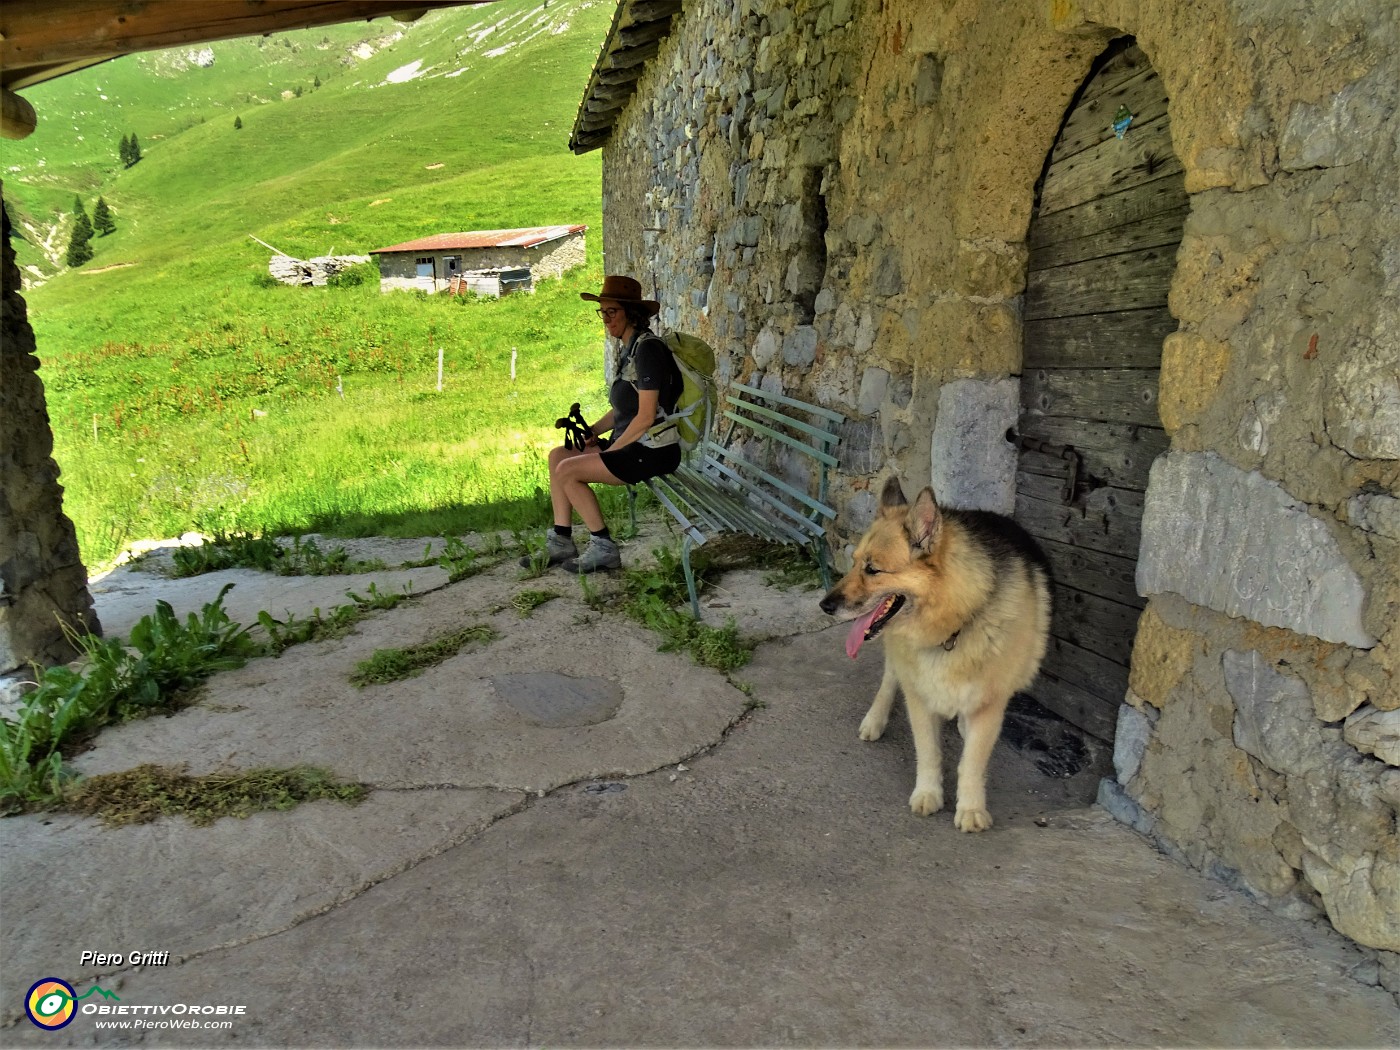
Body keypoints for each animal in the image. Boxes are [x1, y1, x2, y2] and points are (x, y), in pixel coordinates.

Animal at [817, 481, 1052, 834]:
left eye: (873, 569)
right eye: (855, 562)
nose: (825, 606)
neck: (952, 628)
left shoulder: (989, 704)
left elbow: (972, 762)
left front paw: (970, 808)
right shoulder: (919, 698)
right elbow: (928, 751)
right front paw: (928, 793)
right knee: (890, 679)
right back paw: (875, 719)